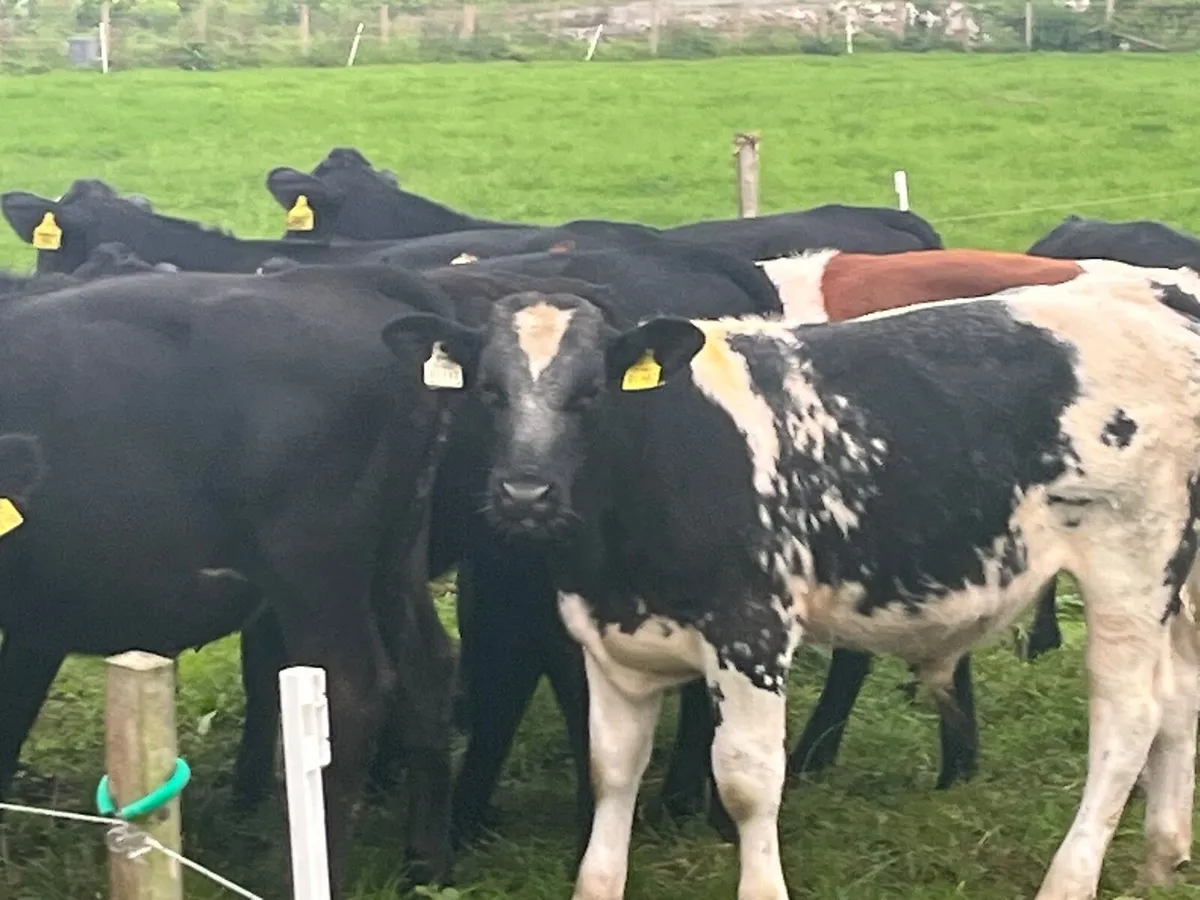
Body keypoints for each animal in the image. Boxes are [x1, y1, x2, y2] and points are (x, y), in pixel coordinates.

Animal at [0, 263, 474, 898]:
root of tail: (342, 282)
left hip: (314, 570)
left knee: (353, 690)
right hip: (396, 553)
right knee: (429, 667)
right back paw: (426, 863)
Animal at [381, 269, 1200, 900]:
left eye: (590, 394)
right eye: (489, 392)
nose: (525, 493)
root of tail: (1153, 290)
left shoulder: (752, 632)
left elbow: (747, 781)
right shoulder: (610, 642)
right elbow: (612, 771)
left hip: (1132, 567)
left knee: (1128, 720)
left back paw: (1071, 878)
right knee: (1180, 701)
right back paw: (1162, 857)